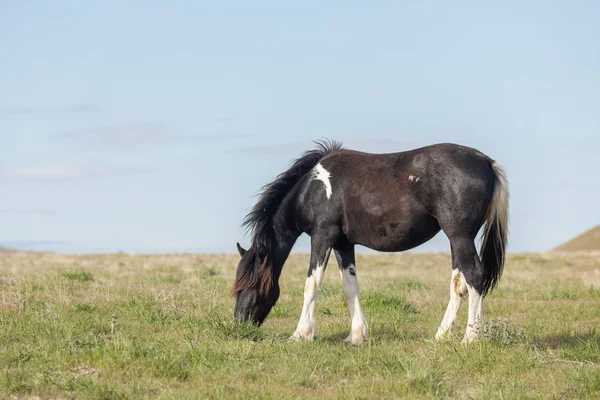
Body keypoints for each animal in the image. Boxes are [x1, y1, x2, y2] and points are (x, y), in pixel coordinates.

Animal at [232, 141, 508, 344]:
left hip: (459, 236)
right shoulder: (343, 244)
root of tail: (485, 161)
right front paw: (356, 336)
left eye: (250, 285)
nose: (239, 326)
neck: (313, 189)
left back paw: (470, 338)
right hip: (457, 239)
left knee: (474, 276)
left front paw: (301, 334)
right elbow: (350, 286)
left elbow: (312, 284)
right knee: (458, 284)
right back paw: (440, 336)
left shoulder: (322, 236)